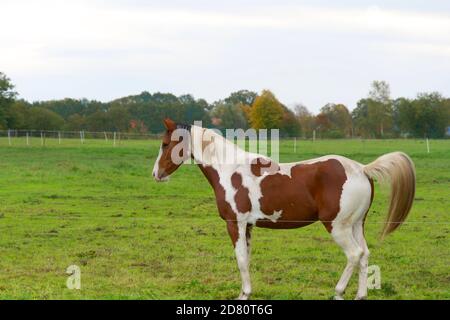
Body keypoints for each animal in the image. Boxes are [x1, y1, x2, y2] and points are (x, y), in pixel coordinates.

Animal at [153, 118, 416, 300]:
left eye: (166, 144)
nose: (156, 174)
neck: (229, 170)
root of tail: (362, 169)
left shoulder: (235, 223)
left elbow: (240, 259)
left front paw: (242, 295)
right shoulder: (248, 226)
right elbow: (247, 258)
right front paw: (247, 292)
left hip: (338, 227)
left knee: (354, 254)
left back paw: (338, 292)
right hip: (356, 225)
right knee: (365, 255)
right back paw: (360, 295)